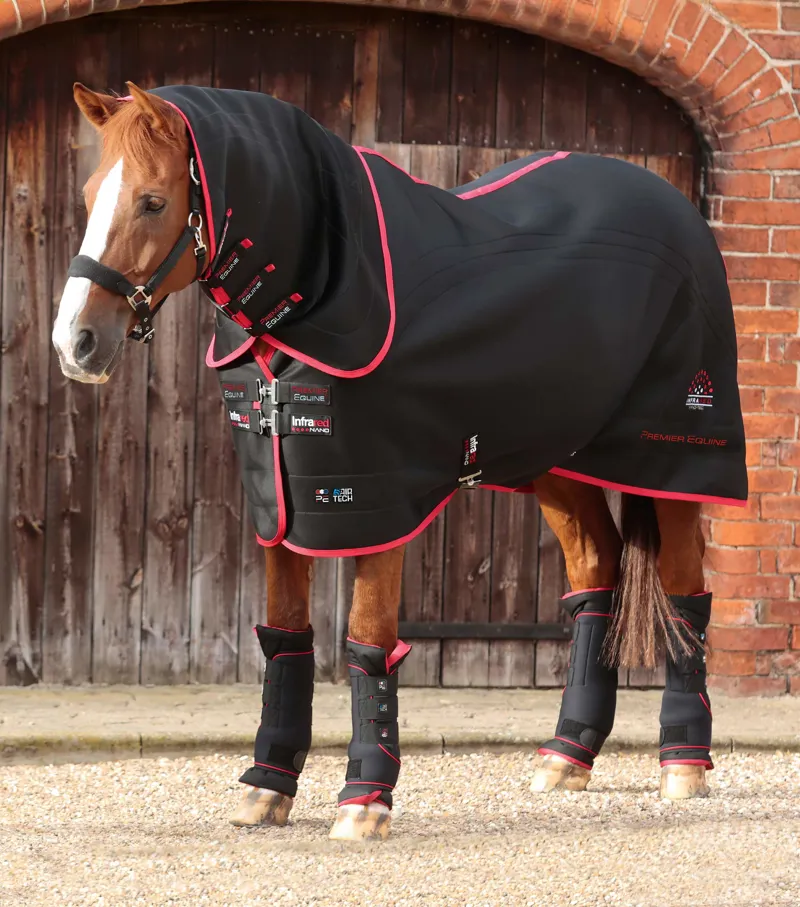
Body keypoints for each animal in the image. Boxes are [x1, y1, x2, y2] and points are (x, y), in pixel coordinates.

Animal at [52, 81, 747, 842]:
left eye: (153, 201)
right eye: (89, 192)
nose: (74, 341)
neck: (319, 295)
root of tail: (675, 207)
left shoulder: (375, 503)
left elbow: (366, 642)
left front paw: (364, 800)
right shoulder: (280, 503)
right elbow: (284, 638)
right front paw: (267, 786)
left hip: (674, 457)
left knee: (684, 592)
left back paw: (684, 763)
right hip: (557, 462)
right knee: (597, 574)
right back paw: (567, 755)